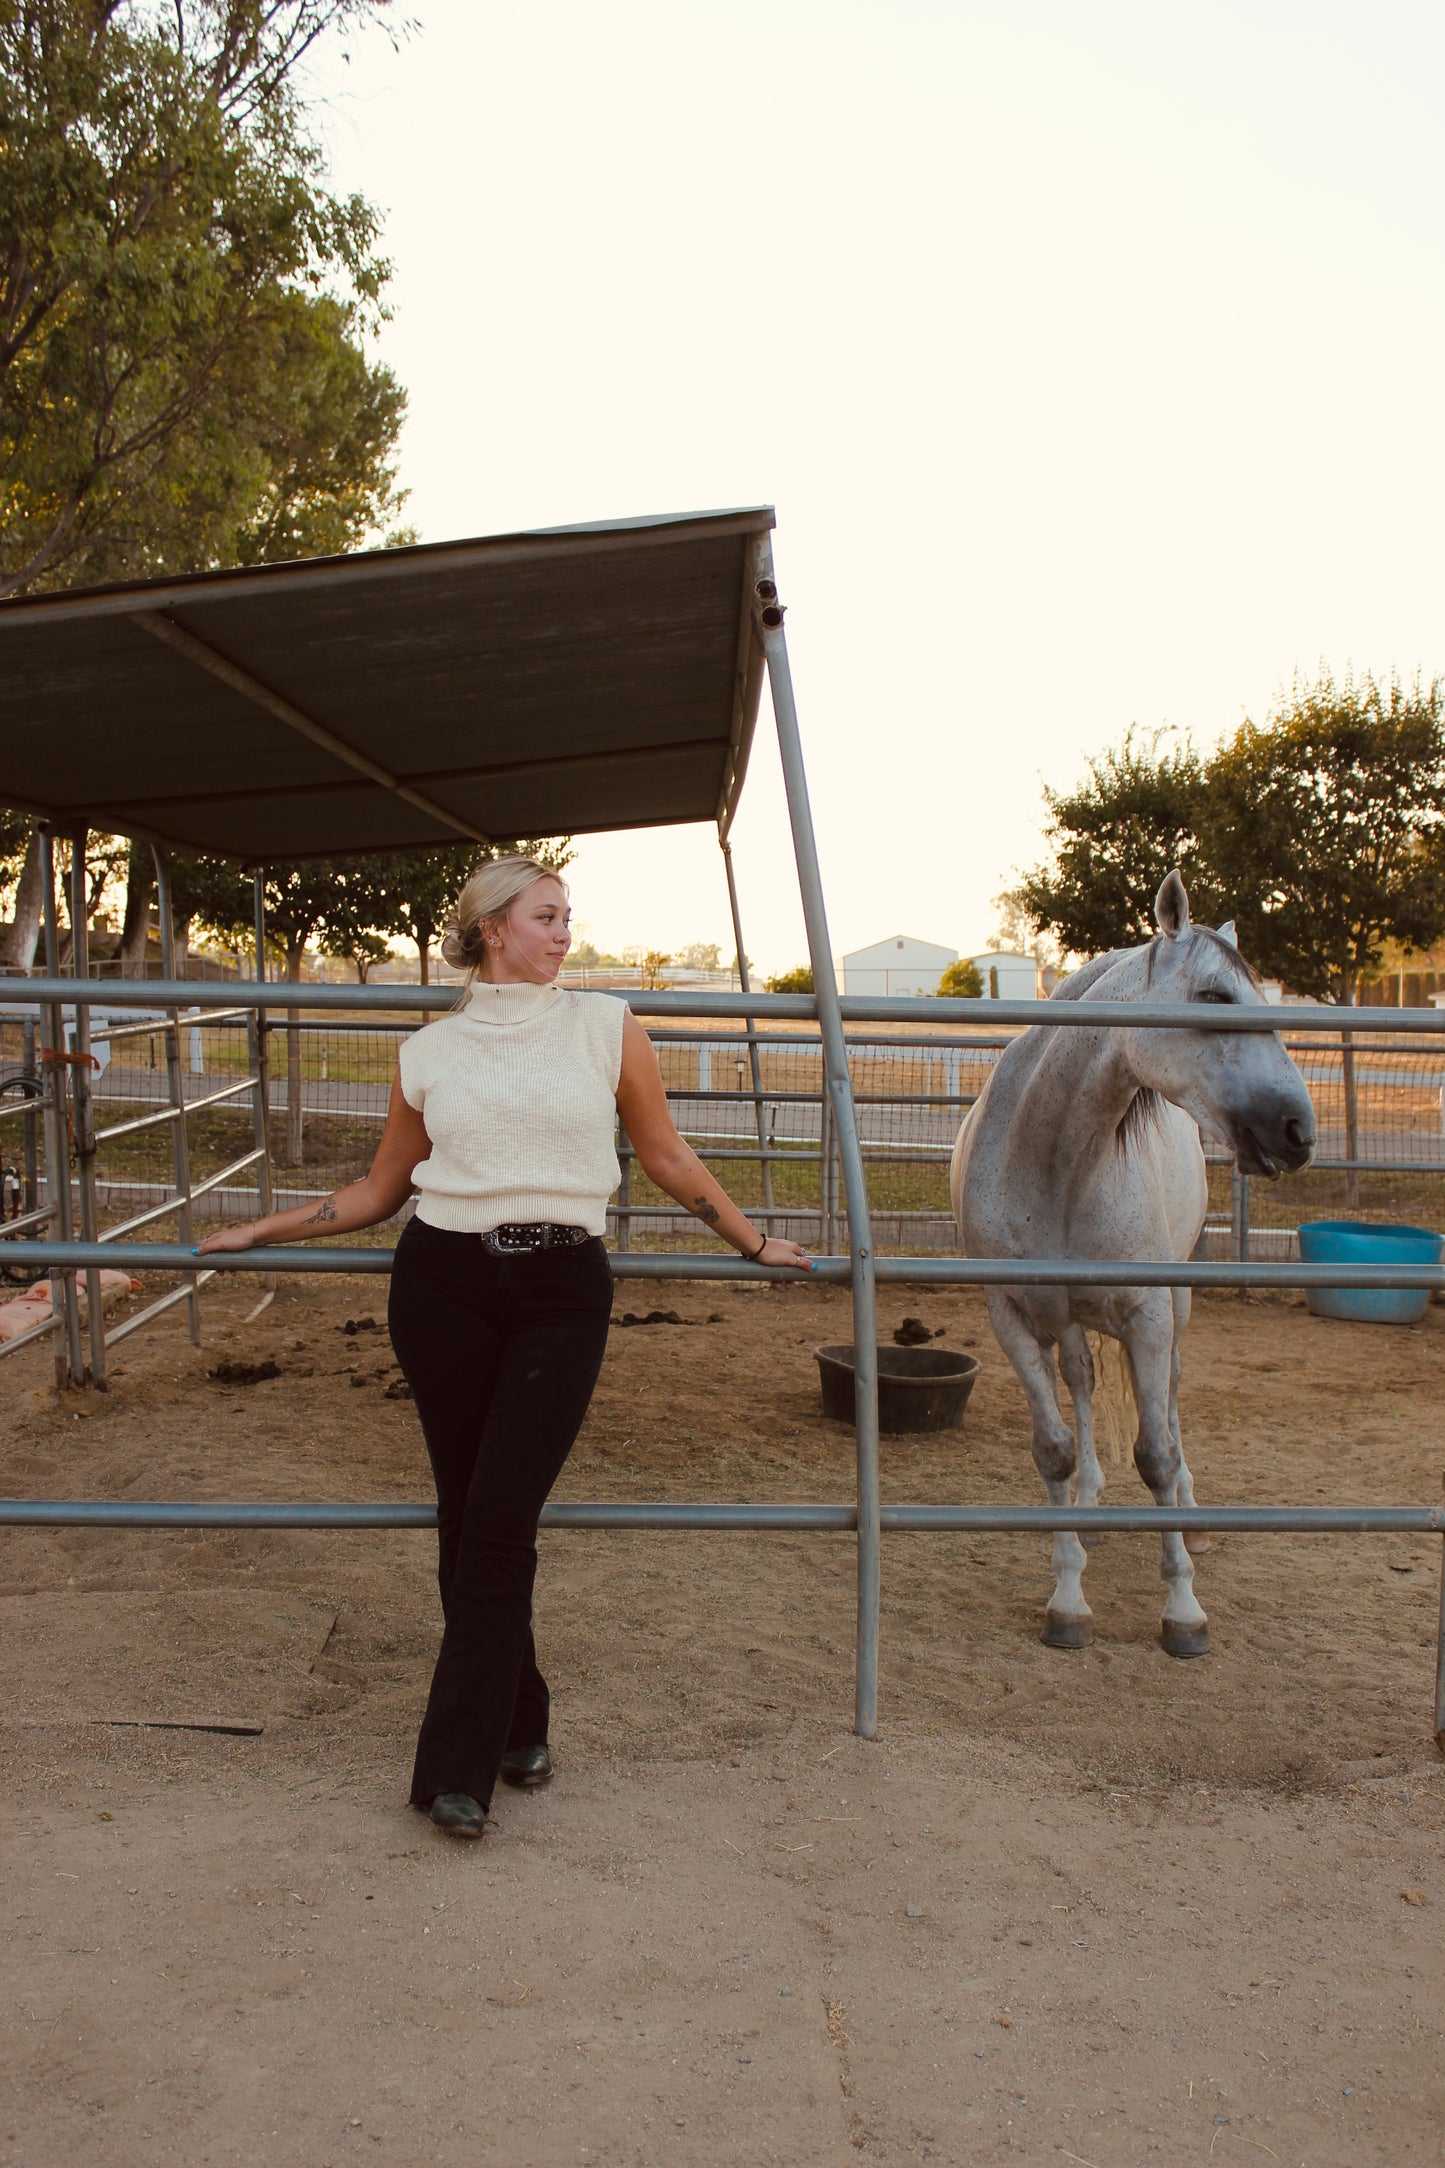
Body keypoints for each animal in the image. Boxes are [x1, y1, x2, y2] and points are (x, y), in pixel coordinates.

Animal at [953, 871, 1317, 1647]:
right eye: (1214, 996)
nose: (1298, 1131)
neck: (1054, 1164)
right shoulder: (1013, 1316)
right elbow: (1054, 1446)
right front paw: (1067, 1596)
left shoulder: (1148, 1315)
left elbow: (1155, 1453)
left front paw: (1183, 1609)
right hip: (1067, 1318)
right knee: (1083, 1381)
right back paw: (1090, 1501)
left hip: (1177, 1304)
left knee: (1171, 1399)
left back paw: (1189, 1509)